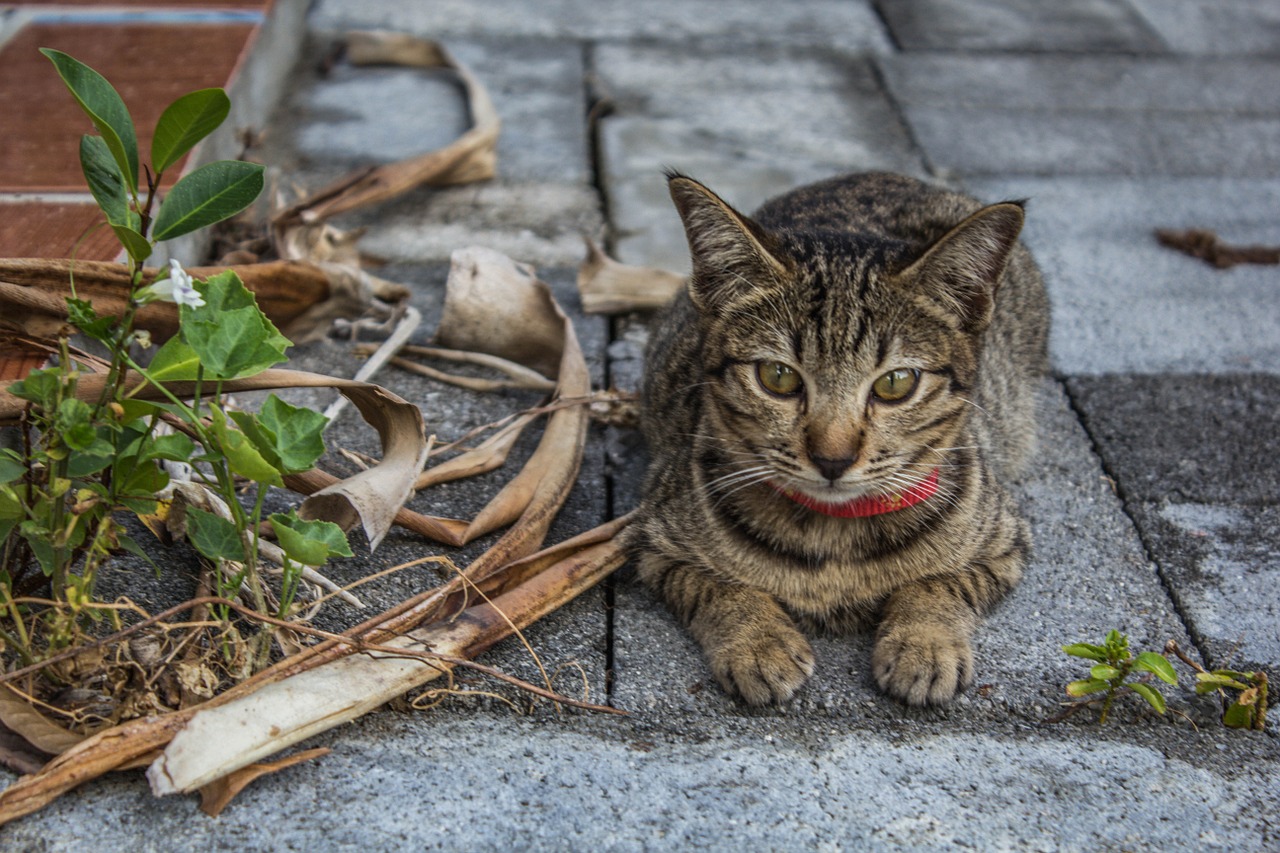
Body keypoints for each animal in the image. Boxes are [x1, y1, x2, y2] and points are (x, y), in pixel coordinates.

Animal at [632, 169, 1049, 701]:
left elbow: (940, 583)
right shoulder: (654, 542)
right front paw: (758, 641)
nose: (833, 458)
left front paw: (924, 642)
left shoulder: (1005, 543)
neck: (835, 543)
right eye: (777, 376)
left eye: (896, 383)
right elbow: (716, 587)